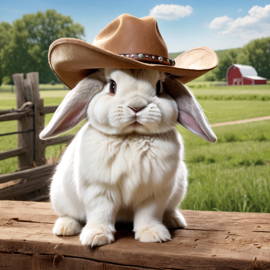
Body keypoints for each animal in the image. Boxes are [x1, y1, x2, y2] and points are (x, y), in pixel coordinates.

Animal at [40, 67, 217, 247]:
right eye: (112, 86)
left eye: (159, 86)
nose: (136, 106)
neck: (132, 137)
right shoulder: (99, 190)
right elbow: (101, 212)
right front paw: (96, 237)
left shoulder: (153, 193)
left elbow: (149, 213)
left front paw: (153, 235)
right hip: (60, 197)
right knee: (68, 214)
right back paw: (65, 228)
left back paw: (173, 220)